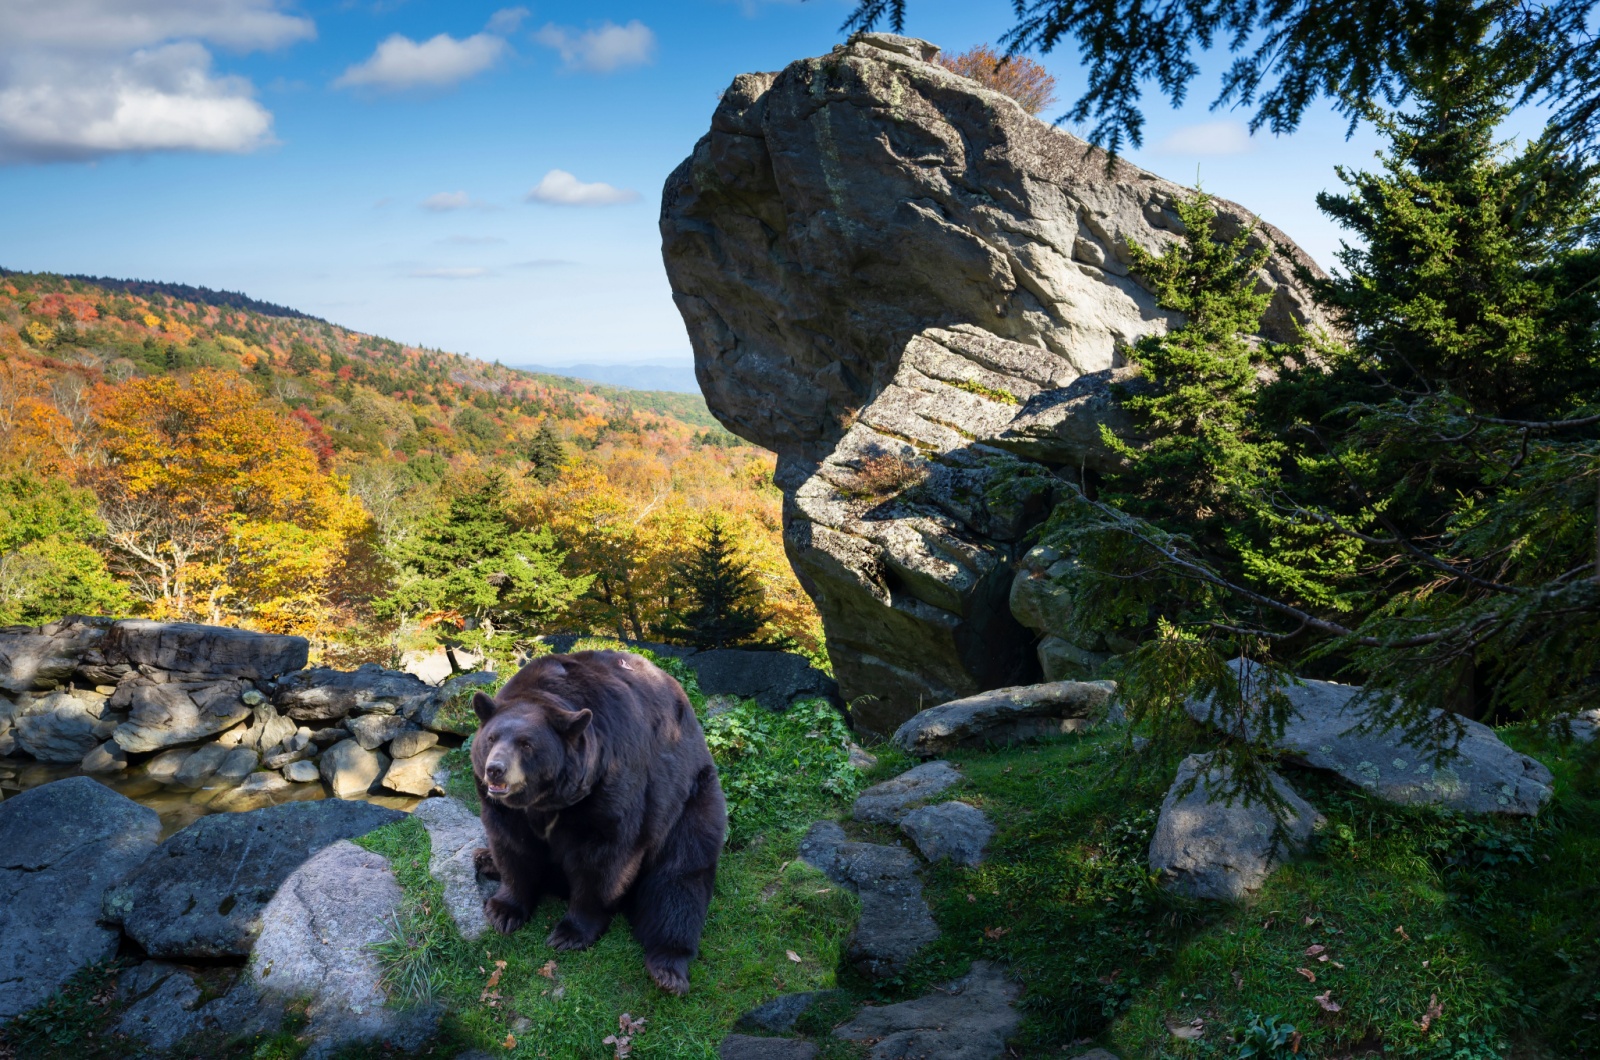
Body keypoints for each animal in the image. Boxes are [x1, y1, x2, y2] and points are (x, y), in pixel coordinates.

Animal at [470, 646, 729, 999]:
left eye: (526, 743)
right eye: (491, 737)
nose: (495, 770)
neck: (547, 802)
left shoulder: (610, 787)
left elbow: (604, 861)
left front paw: (569, 933)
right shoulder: (506, 810)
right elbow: (512, 848)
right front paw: (503, 911)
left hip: (690, 800)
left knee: (679, 880)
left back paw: (668, 968)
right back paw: (484, 858)